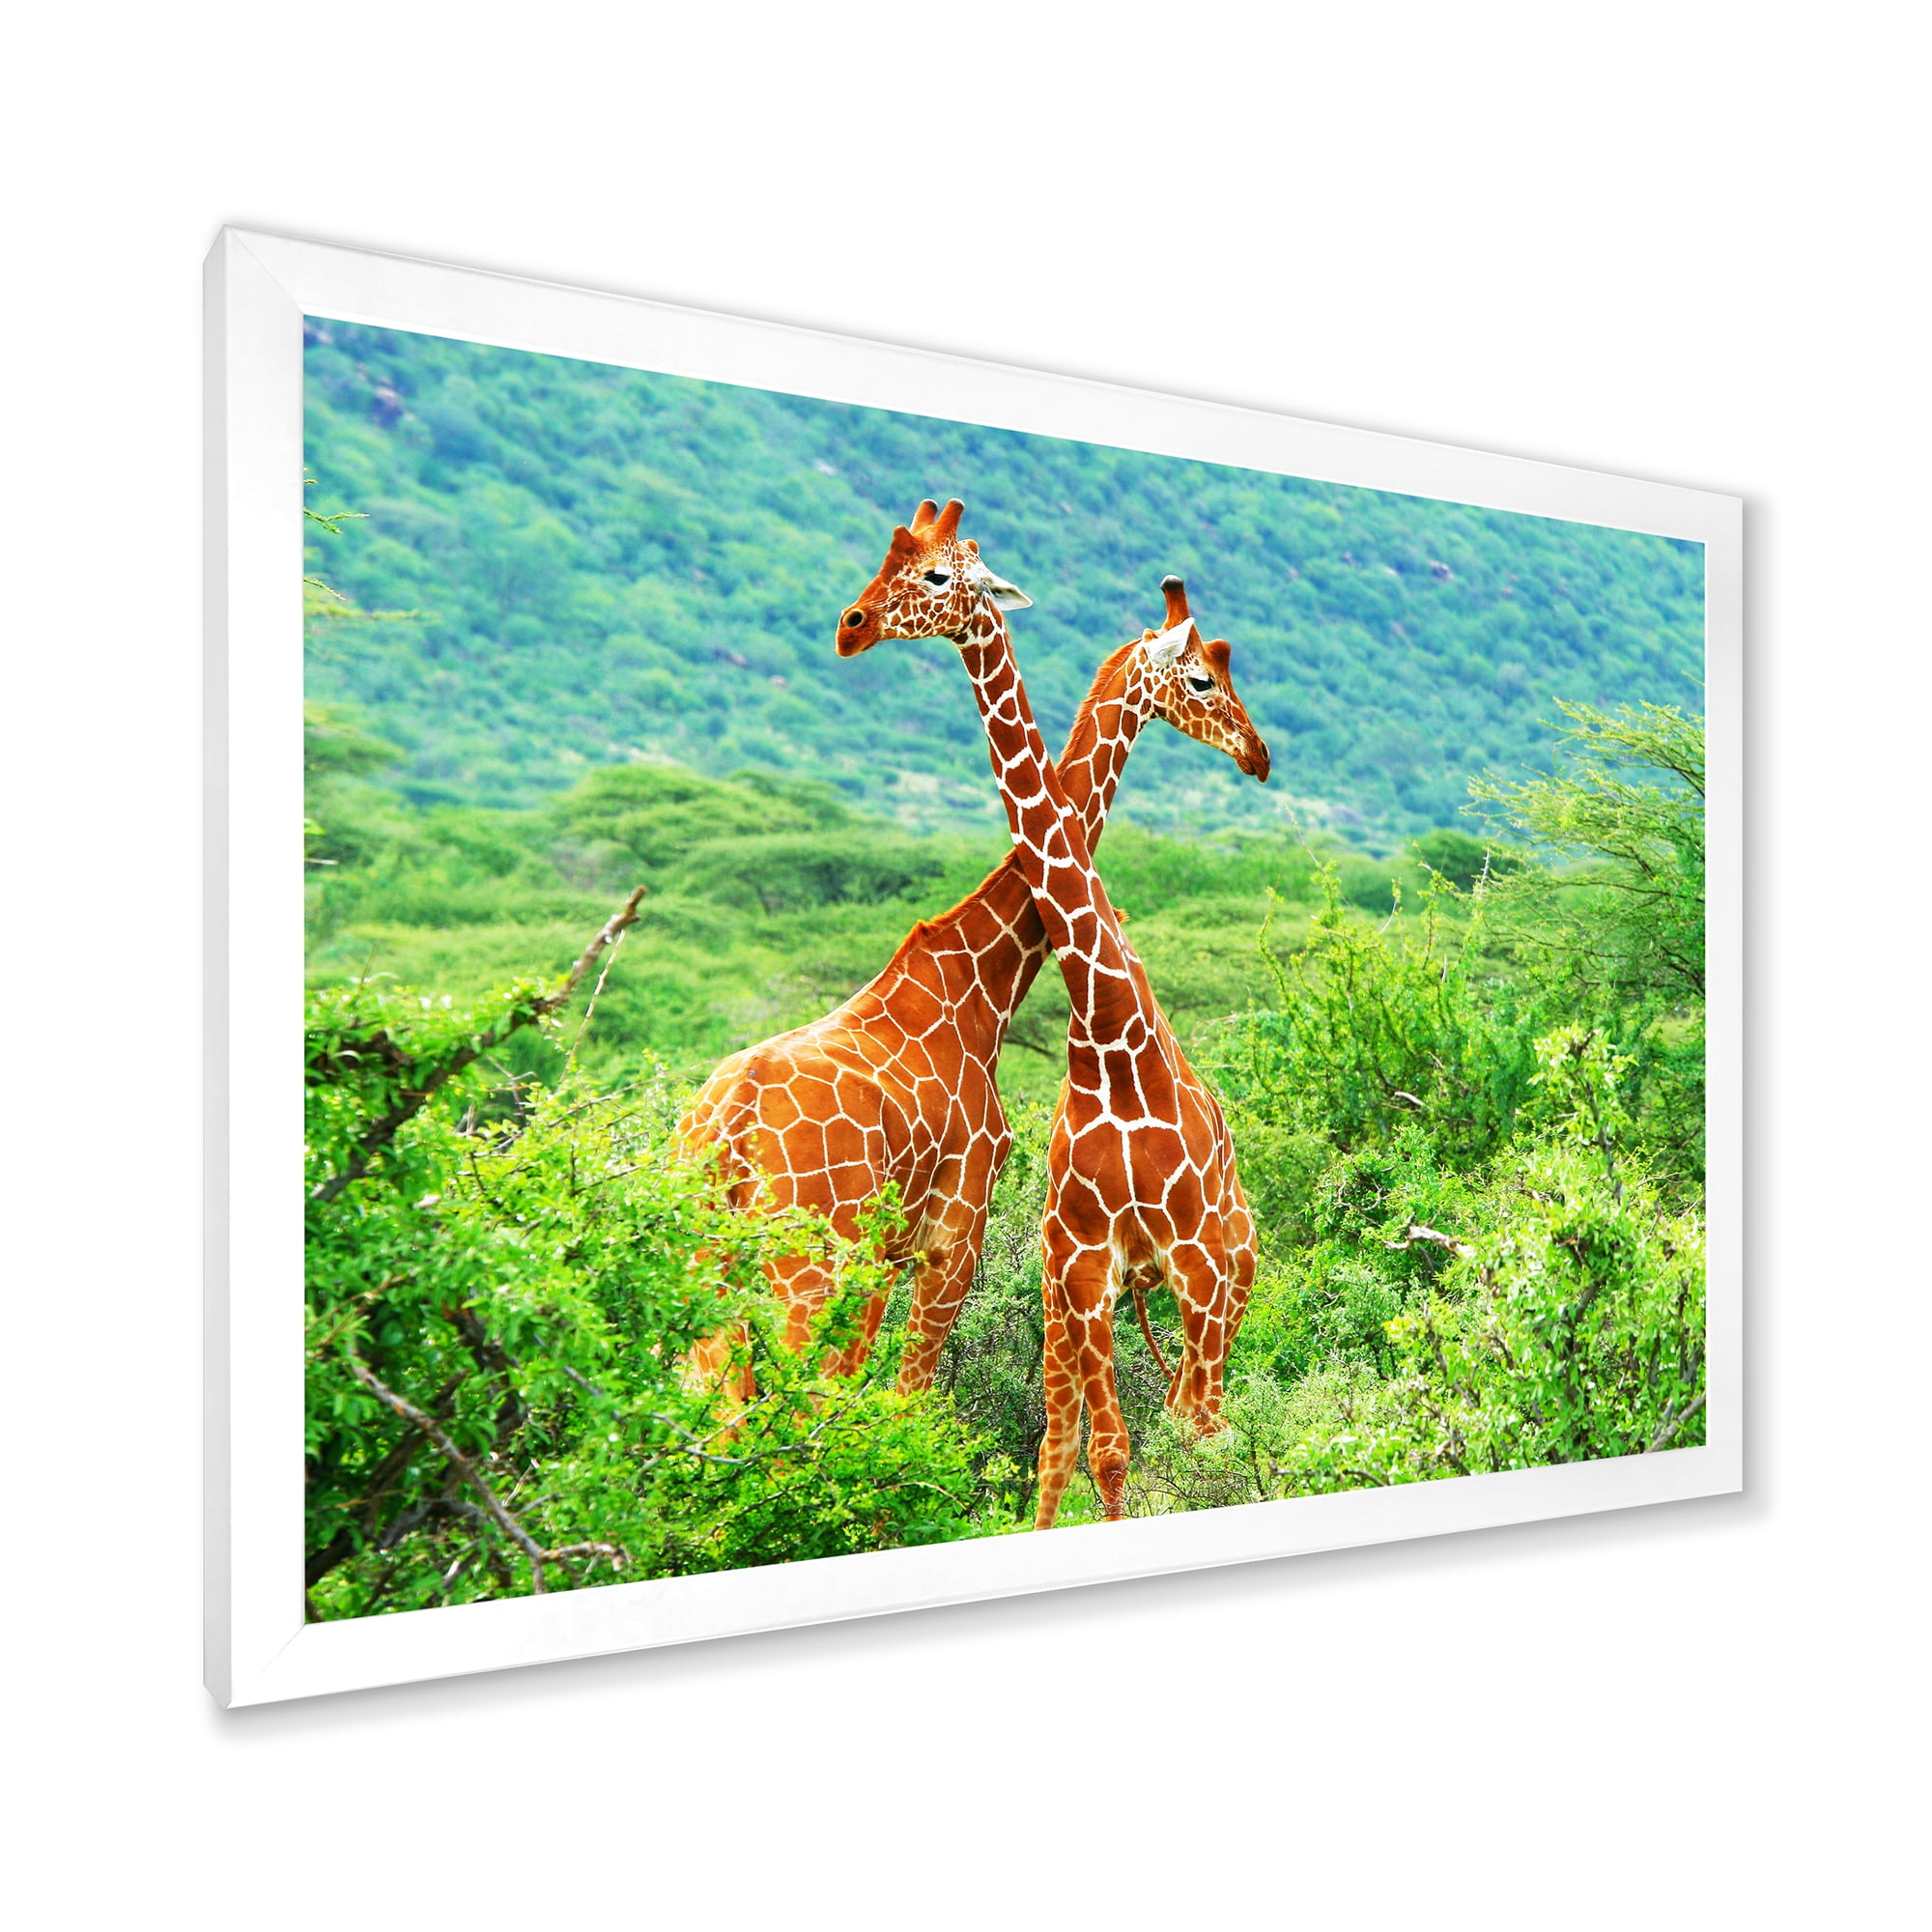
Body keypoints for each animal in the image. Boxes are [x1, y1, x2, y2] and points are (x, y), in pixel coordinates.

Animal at [680, 506, 1270, 1403]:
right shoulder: (956, 1230)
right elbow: (903, 1398)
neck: (983, 980)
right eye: (1204, 678)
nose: (1255, 752)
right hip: (804, 1261)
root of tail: (726, 1128)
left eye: (928, 571)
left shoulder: (897, 1250)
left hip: (705, 1259)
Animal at [837, 500, 1264, 1528]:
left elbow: (1181, 1437)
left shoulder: (1191, 1262)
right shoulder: (1081, 1265)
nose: (1260, 755)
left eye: (936, 574)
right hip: (1067, 1293)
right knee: (1069, 1443)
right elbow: (1100, 1452)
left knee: (1206, 1417)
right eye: (1204, 676)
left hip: (1227, 1276)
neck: (1111, 1040)